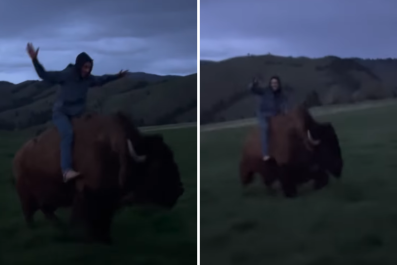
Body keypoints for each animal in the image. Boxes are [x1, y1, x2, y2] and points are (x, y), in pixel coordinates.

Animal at [13, 111, 183, 241]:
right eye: (157, 165)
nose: (180, 190)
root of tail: (18, 157)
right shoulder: (88, 194)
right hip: (27, 199)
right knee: (30, 214)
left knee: (47, 211)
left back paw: (60, 226)